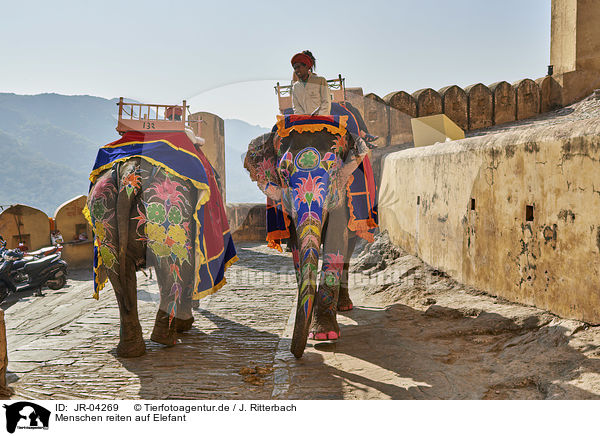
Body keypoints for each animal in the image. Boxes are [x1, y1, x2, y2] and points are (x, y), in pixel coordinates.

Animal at [243, 115, 376, 358]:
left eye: (333, 171)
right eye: (283, 175)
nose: (296, 353)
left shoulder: (342, 191)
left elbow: (336, 240)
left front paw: (324, 335)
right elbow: (296, 245)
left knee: (349, 249)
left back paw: (344, 305)